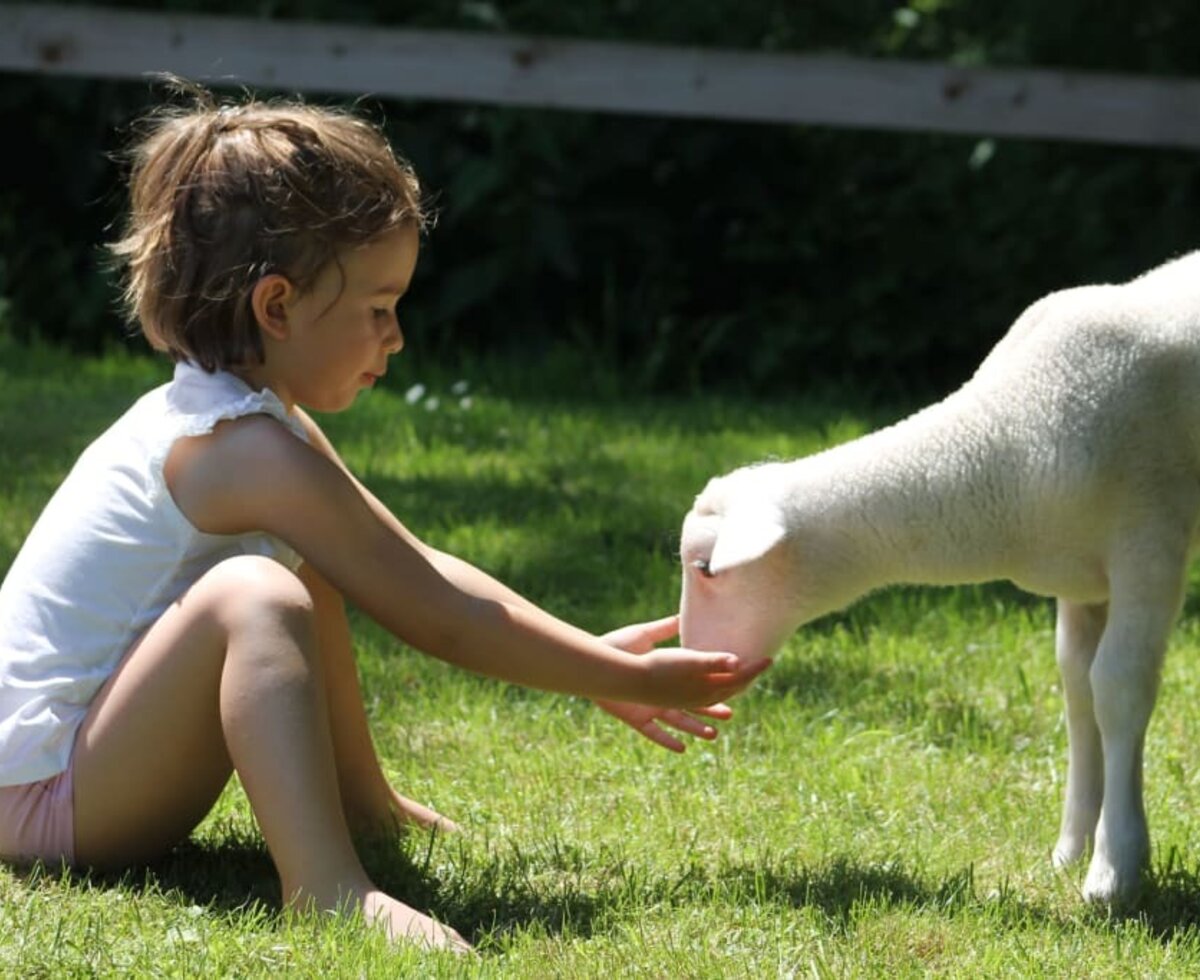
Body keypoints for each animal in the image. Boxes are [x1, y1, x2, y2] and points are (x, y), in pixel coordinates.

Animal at [676, 250, 1200, 902]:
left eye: (705, 569)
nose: (693, 667)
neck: (1001, 442)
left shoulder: (1149, 542)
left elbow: (1119, 688)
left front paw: (1114, 870)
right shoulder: (1081, 581)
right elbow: (1079, 691)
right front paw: (1071, 849)